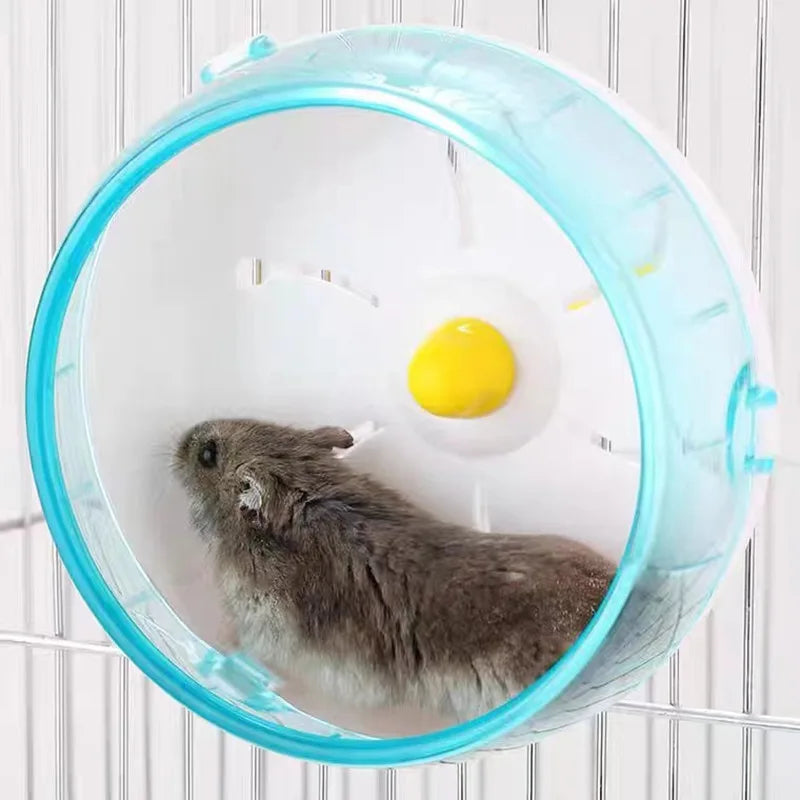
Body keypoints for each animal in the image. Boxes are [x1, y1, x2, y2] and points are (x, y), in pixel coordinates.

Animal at [173, 418, 615, 723]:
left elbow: (242, 640)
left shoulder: (265, 620)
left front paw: (215, 645)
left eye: (207, 454)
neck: (307, 489)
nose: (181, 438)